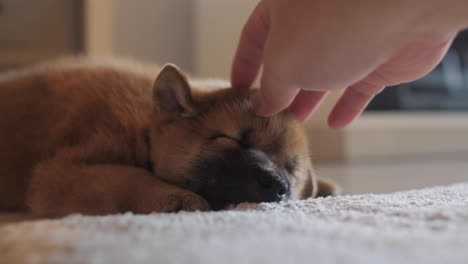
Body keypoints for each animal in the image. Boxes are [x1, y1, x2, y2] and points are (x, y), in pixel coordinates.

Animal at [0, 56, 336, 216]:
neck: (144, 129)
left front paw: (325, 185)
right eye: (235, 139)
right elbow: (128, 177)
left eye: (291, 168)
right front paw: (177, 197)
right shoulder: (61, 172)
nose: (278, 185)